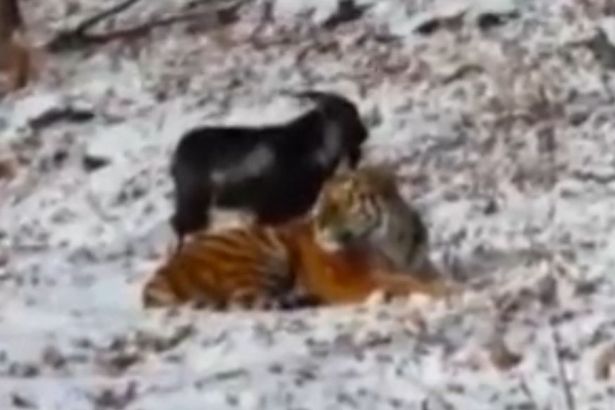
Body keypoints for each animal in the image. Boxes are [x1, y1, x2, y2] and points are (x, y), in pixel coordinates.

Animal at [142, 165, 454, 310]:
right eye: (323, 200)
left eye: (345, 200)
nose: (318, 223)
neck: (395, 241)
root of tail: (161, 272)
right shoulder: (358, 279)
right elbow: (403, 282)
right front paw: (449, 291)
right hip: (263, 250)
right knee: (247, 299)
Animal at [171, 91, 368, 248]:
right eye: (352, 114)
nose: (365, 133)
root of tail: (179, 152)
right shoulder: (272, 212)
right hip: (195, 206)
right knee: (181, 225)